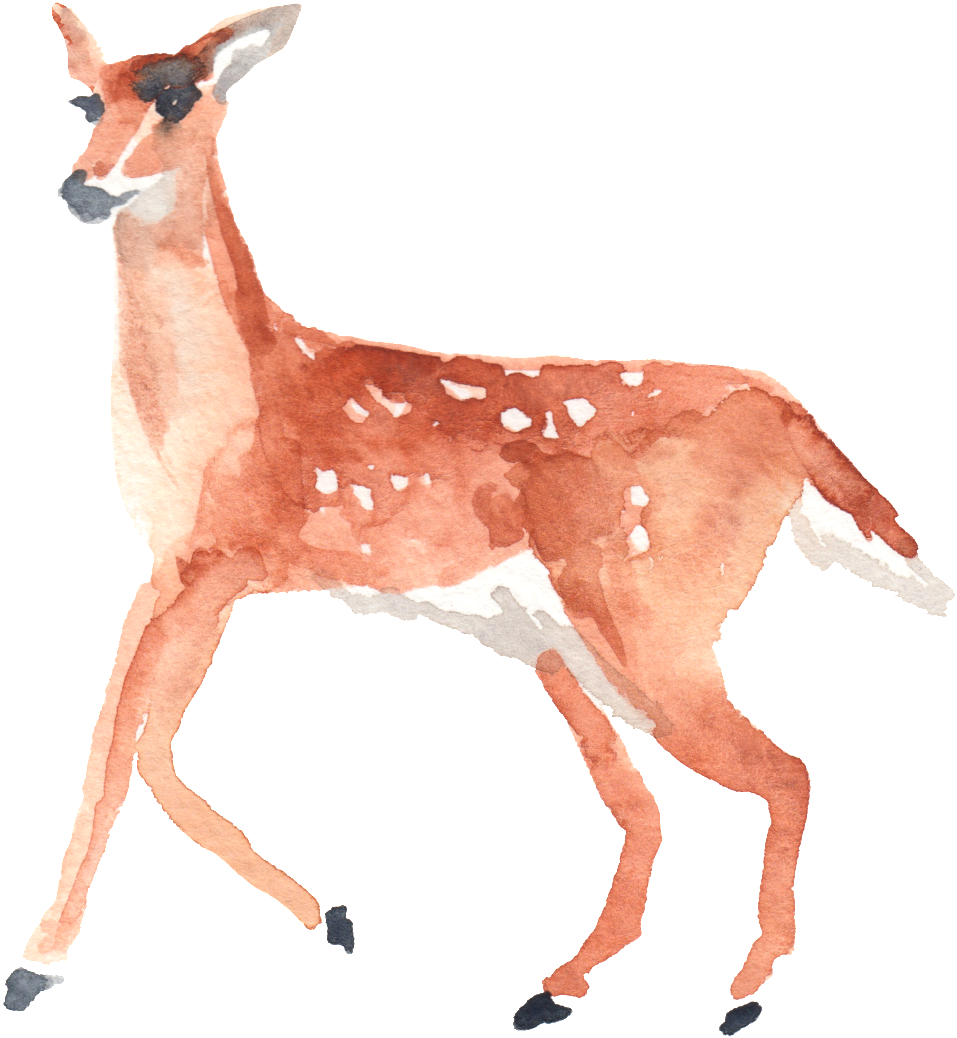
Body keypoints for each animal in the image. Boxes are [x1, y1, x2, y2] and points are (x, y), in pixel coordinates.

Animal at [17, 2, 952, 1030]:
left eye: (180, 99)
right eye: (82, 101)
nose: (82, 189)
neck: (233, 396)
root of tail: (787, 415)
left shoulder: (209, 560)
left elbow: (118, 747)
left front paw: (40, 957)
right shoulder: (193, 570)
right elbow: (143, 745)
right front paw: (324, 913)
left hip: (651, 620)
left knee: (784, 771)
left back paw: (744, 987)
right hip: (564, 645)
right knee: (650, 805)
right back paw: (561, 984)